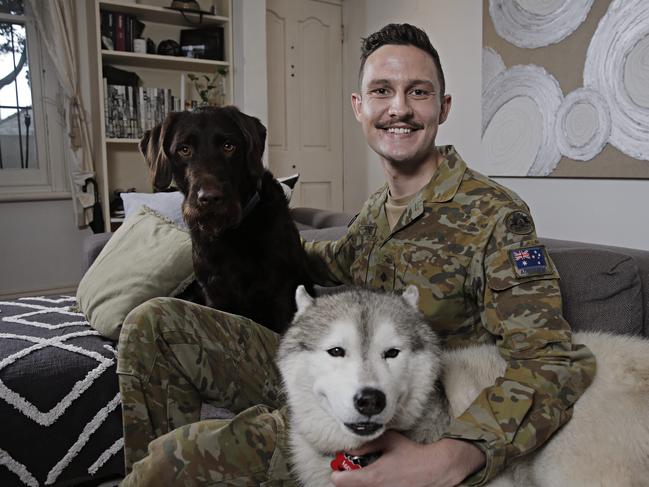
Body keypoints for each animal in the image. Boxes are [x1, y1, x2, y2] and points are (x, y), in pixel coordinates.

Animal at [140, 106, 312, 336]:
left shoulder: (281, 293)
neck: (232, 234)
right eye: (184, 149)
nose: (209, 198)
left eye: (228, 146)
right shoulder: (215, 296)